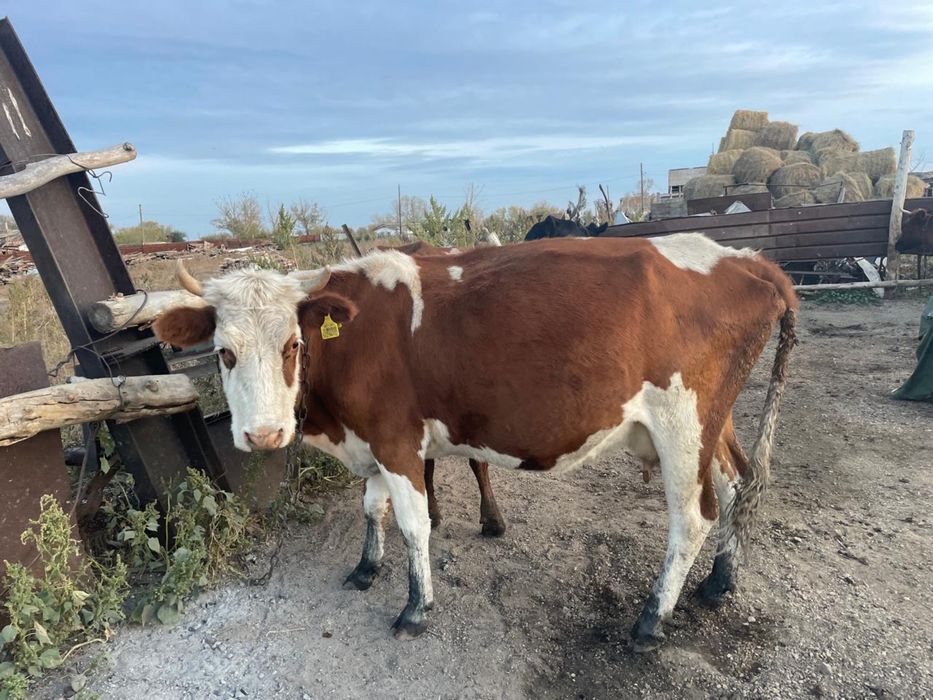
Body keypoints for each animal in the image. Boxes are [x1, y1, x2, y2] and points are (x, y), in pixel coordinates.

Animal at [153, 233, 798, 650]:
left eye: (292, 345)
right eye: (223, 352)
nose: (264, 434)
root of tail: (745, 259)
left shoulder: (396, 441)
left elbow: (413, 523)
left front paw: (416, 607)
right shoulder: (371, 443)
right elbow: (371, 506)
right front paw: (365, 568)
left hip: (683, 423)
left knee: (693, 517)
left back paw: (649, 622)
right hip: (715, 422)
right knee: (735, 486)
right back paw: (720, 582)